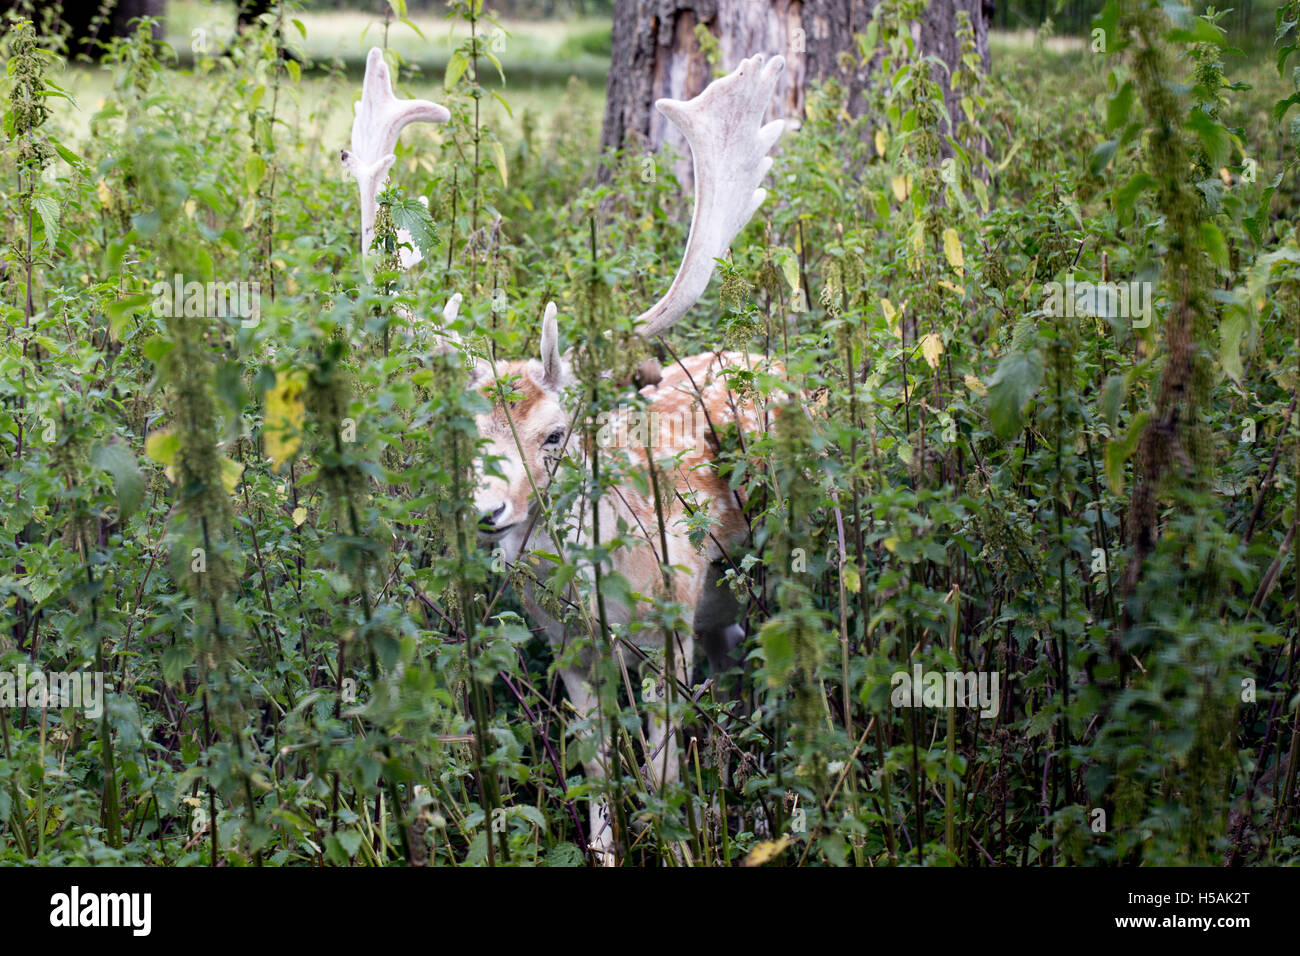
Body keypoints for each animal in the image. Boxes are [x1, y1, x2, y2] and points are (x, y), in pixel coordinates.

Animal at [345, 48, 785, 863]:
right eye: (466, 432)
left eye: (555, 434)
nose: (489, 512)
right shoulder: (571, 650)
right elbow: (596, 766)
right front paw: (609, 850)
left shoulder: (668, 629)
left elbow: (660, 773)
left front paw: (677, 846)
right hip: (721, 614)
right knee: (737, 669)